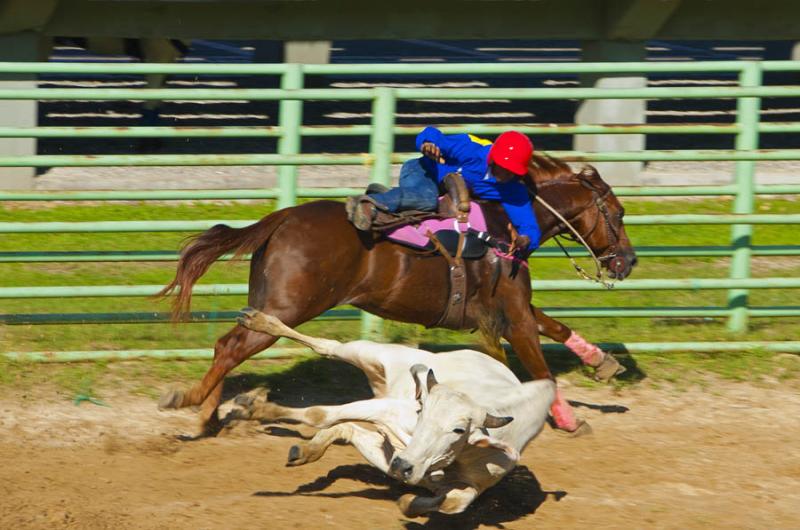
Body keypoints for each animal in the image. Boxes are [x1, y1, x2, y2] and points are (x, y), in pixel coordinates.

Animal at [158, 156, 636, 434]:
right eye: (617, 213)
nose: (626, 262)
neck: (503, 224)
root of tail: (283, 217)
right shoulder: (513, 315)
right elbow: (541, 367)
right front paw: (569, 419)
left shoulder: (509, 308)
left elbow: (556, 326)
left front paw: (602, 361)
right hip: (287, 309)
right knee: (230, 347)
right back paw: (191, 403)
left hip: (270, 303)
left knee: (228, 347)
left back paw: (205, 416)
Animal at [231, 308, 556, 512]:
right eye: (422, 412)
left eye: (459, 429)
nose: (404, 466)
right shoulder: (391, 413)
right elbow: (319, 414)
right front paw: (253, 409)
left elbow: (455, 501)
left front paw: (410, 503)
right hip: (371, 353)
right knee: (328, 347)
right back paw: (260, 321)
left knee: (348, 428)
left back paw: (309, 450)